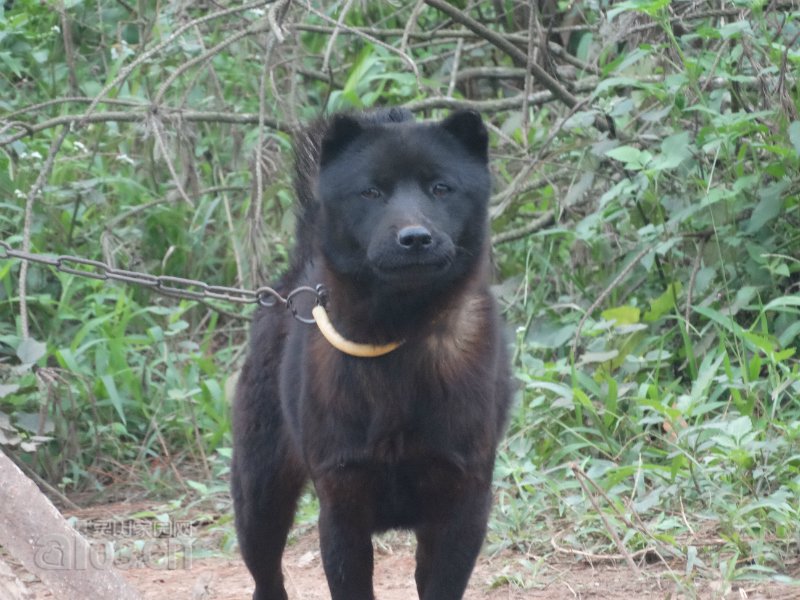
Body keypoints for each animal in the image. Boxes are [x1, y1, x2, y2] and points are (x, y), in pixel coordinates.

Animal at [231, 109, 510, 600]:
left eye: (441, 187)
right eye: (371, 192)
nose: (415, 238)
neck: (400, 336)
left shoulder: (462, 505)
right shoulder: (343, 507)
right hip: (259, 496)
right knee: (267, 577)